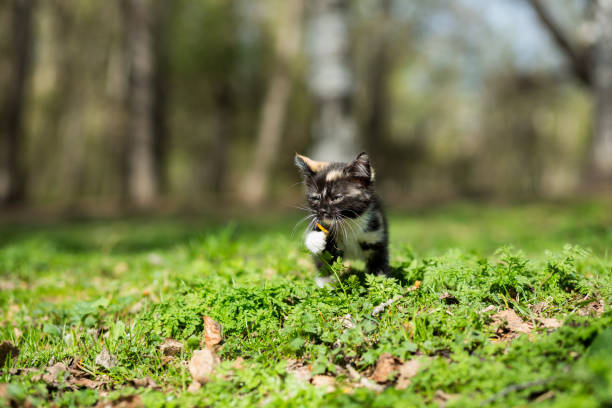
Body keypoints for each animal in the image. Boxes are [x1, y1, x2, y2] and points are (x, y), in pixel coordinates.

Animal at [296, 151, 390, 286]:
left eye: (336, 198)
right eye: (315, 198)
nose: (322, 211)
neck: (348, 222)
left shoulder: (376, 235)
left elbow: (379, 268)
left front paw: (380, 286)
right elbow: (324, 263)